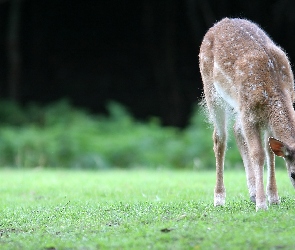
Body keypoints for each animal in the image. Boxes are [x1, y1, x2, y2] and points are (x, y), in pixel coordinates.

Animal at [200, 17, 295, 211]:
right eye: (293, 174)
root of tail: (219, 23)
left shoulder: (264, 118)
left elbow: (270, 151)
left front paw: (273, 197)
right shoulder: (249, 114)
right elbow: (258, 154)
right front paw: (262, 204)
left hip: (238, 105)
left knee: (236, 129)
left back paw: (251, 192)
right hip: (212, 91)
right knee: (219, 138)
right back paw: (219, 198)